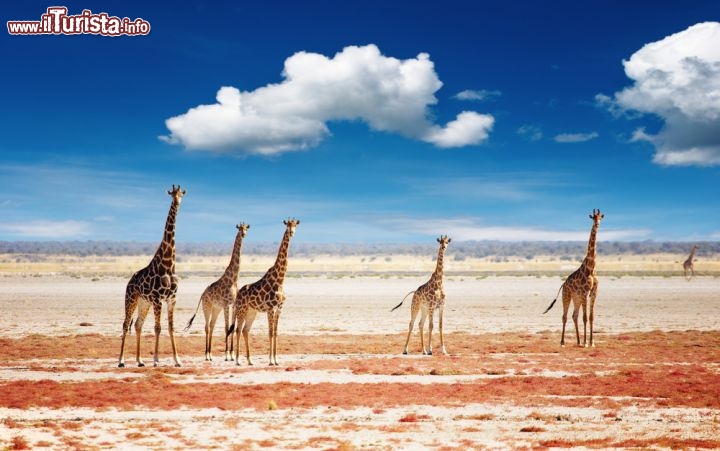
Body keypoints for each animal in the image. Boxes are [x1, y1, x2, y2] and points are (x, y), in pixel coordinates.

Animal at [118, 185, 186, 370]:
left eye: (181, 194)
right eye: (172, 194)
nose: (177, 202)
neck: (169, 264)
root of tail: (129, 282)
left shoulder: (172, 299)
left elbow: (170, 327)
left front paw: (177, 360)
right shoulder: (157, 299)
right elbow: (158, 328)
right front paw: (156, 360)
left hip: (144, 302)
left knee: (137, 324)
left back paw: (140, 361)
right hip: (132, 299)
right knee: (126, 324)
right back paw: (121, 361)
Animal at [186, 224, 250, 362]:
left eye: (246, 228)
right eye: (239, 229)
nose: (244, 234)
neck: (234, 279)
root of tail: (202, 295)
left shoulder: (234, 305)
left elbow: (232, 327)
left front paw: (231, 354)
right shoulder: (226, 304)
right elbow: (227, 327)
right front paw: (226, 355)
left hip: (216, 309)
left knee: (212, 325)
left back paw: (210, 355)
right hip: (207, 307)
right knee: (206, 327)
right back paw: (206, 355)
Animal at [229, 220, 300, 368]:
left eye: (295, 225)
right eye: (287, 225)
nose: (292, 232)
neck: (280, 279)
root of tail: (238, 295)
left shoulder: (279, 308)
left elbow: (276, 332)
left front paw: (276, 359)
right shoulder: (270, 308)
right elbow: (270, 333)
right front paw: (271, 360)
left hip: (252, 312)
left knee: (245, 330)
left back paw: (250, 360)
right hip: (242, 310)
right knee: (238, 330)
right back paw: (238, 360)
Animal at [544, 210, 600, 348]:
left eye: (601, 217)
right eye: (593, 218)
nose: (597, 224)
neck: (591, 268)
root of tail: (563, 284)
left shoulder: (593, 293)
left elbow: (591, 317)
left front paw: (591, 342)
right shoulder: (585, 293)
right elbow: (585, 318)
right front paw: (586, 343)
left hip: (576, 298)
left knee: (574, 315)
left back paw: (578, 341)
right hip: (567, 295)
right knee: (565, 316)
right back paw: (563, 342)